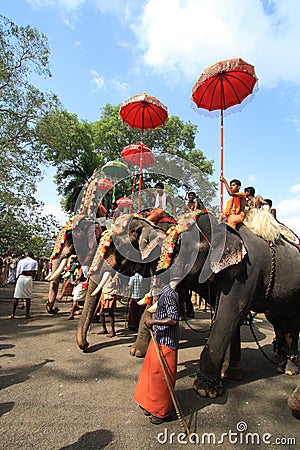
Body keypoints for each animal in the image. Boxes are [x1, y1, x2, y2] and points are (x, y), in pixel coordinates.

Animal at [77, 209, 300, 400]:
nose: (87, 347)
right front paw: (230, 375)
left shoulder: (246, 272)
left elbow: (229, 314)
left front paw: (204, 390)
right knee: (280, 320)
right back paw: (282, 365)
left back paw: (288, 369)